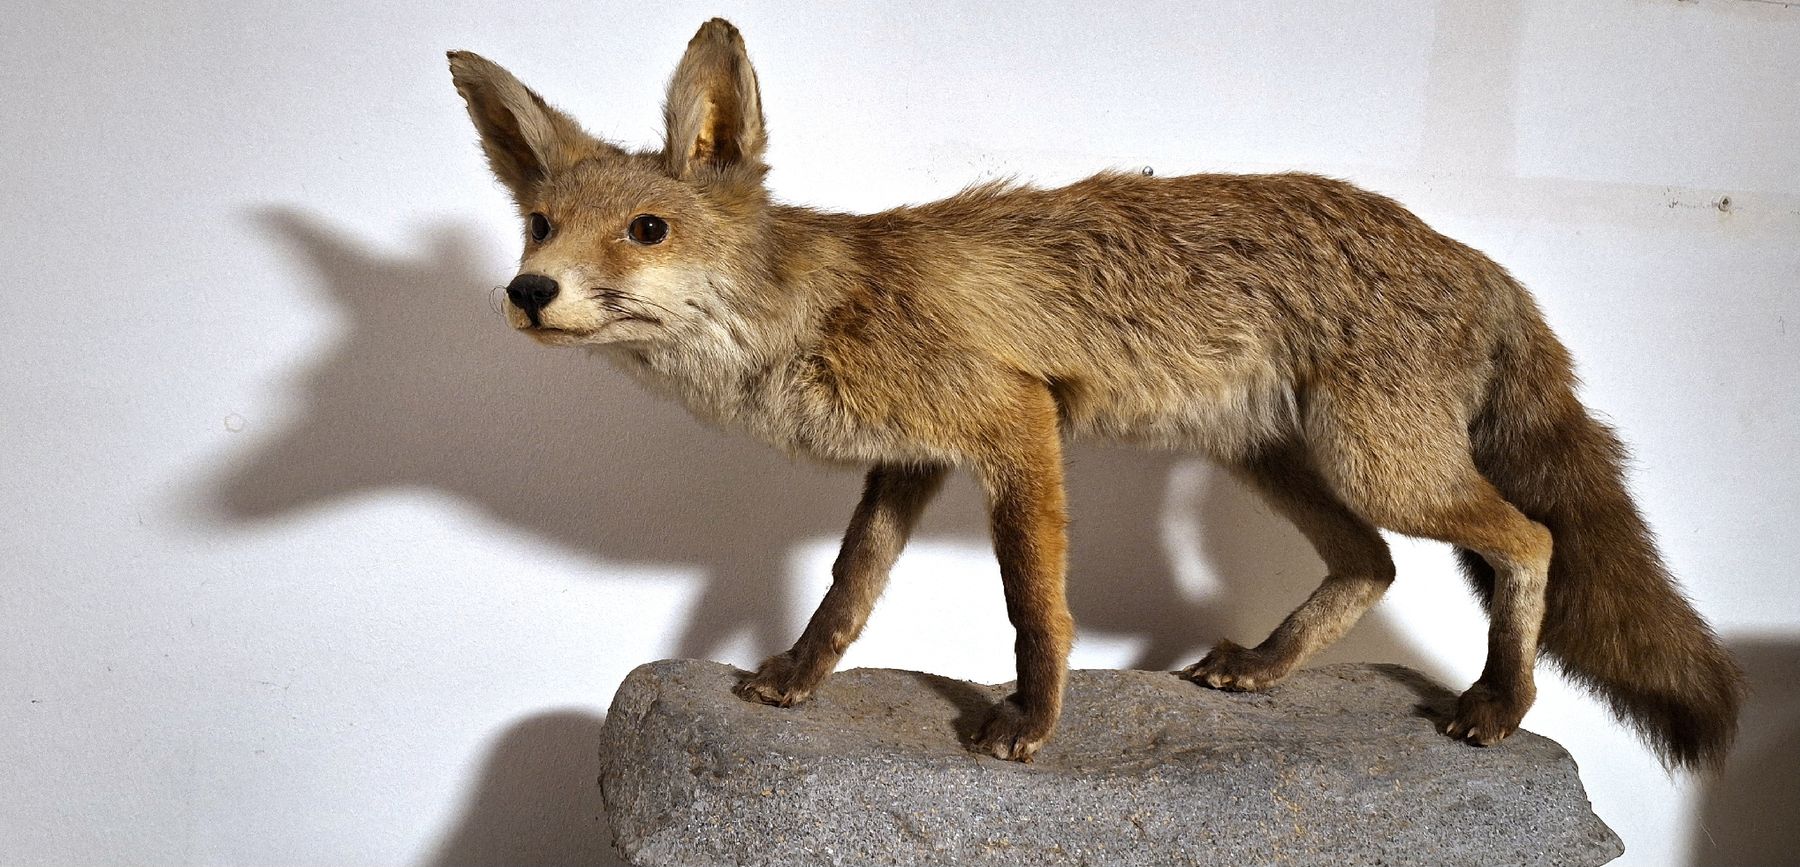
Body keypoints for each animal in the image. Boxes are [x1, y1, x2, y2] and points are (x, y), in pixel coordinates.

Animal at [447, 18, 1743, 766]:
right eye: (541, 224)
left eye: (646, 229)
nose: (526, 291)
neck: (817, 309)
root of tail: (1478, 257)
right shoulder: (913, 456)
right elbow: (849, 586)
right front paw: (798, 681)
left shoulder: (1014, 424)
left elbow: (1037, 605)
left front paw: (1030, 723)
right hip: (1279, 460)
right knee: (1372, 563)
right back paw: (1265, 671)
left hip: (1384, 464)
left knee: (1529, 538)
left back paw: (1500, 703)